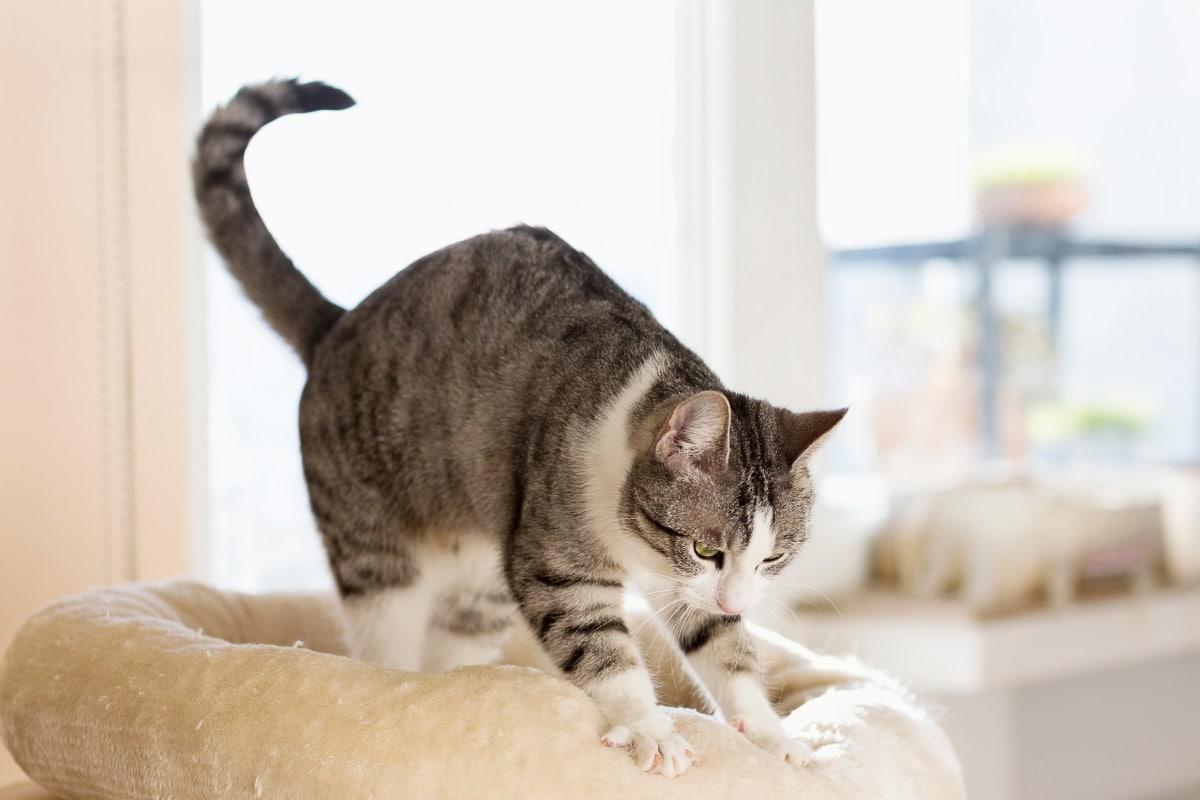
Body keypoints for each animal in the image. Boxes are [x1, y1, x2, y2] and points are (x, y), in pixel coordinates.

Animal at [192, 77, 844, 777]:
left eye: (773, 557)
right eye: (705, 548)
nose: (738, 599)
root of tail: (335, 323)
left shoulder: (680, 589)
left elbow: (725, 648)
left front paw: (774, 736)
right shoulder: (554, 556)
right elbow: (602, 647)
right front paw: (649, 728)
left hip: (479, 581)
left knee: (454, 644)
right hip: (373, 548)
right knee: (384, 635)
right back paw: (396, 685)